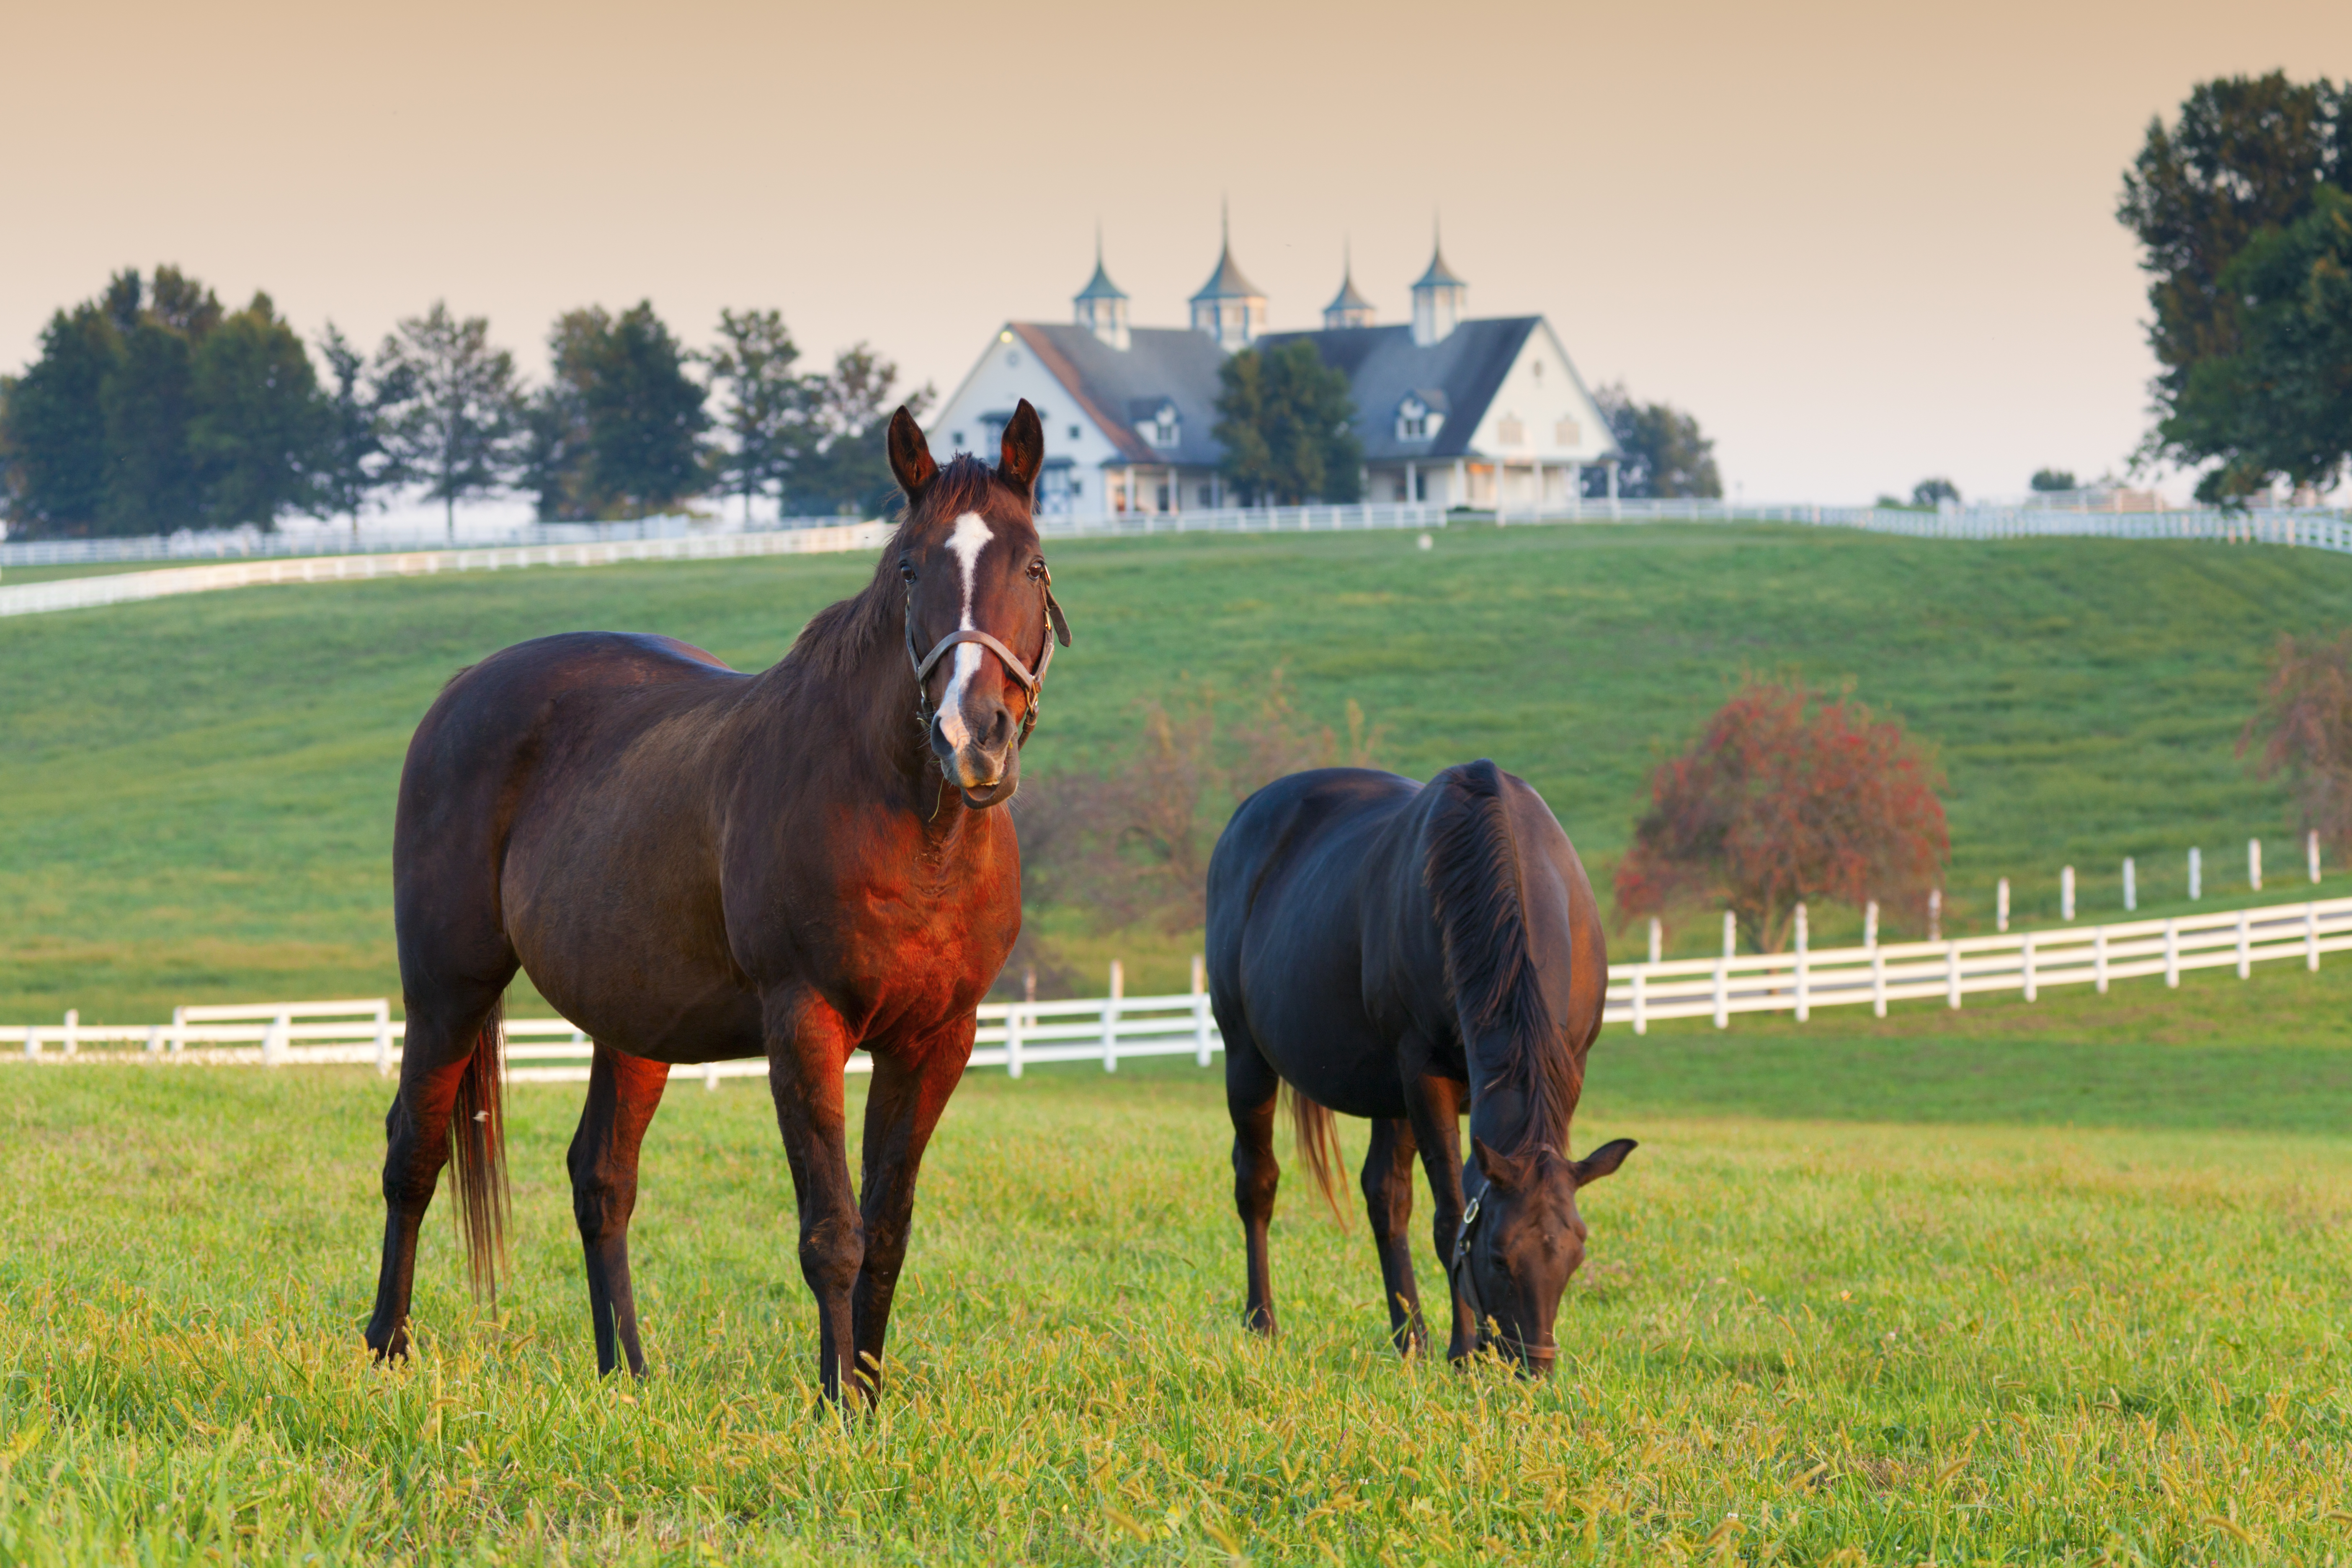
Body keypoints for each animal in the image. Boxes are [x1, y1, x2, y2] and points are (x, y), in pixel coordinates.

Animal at [362, 401, 1071, 1405]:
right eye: (910, 567)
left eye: (1033, 564)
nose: (973, 737)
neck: (912, 827)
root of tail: (464, 689)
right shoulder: (805, 1024)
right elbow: (833, 1231)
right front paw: (837, 1408)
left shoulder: (938, 1040)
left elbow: (887, 1230)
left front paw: (869, 1395)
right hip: (447, 991)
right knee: (413, 1153)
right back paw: (388, 1345)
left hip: (632, 1021)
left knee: (602, 1178)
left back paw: (625, 1372)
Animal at [1203, 759, 1636, 1371]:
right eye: (1498, 1257)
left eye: (1575, 1255)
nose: (1532, 1366)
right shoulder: (1424, 1075)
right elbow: (1451, 1216)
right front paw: (1463, 1351)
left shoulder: (1564, 1072)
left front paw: (1449, 1345)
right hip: (1248, 1058)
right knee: (1257, 1183)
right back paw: (1263, 1322)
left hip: (1387, 1093)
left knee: (1385, 1197)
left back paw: (1410, 1338)